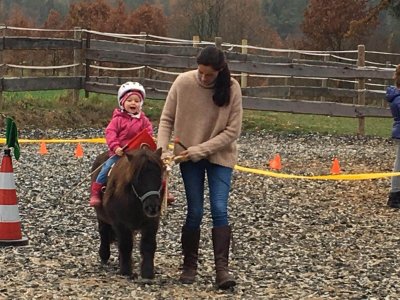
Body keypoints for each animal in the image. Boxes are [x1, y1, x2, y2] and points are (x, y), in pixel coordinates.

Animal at [91, 148, 164, 278]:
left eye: (159, 177)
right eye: (137, 179)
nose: (153, 207)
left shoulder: (152, 222)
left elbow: (148, 245)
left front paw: (148, 272)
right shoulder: (120, 223)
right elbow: (125, 244)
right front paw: (125, 271)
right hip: (101, 216)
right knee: (103, 232)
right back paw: (104, 255)